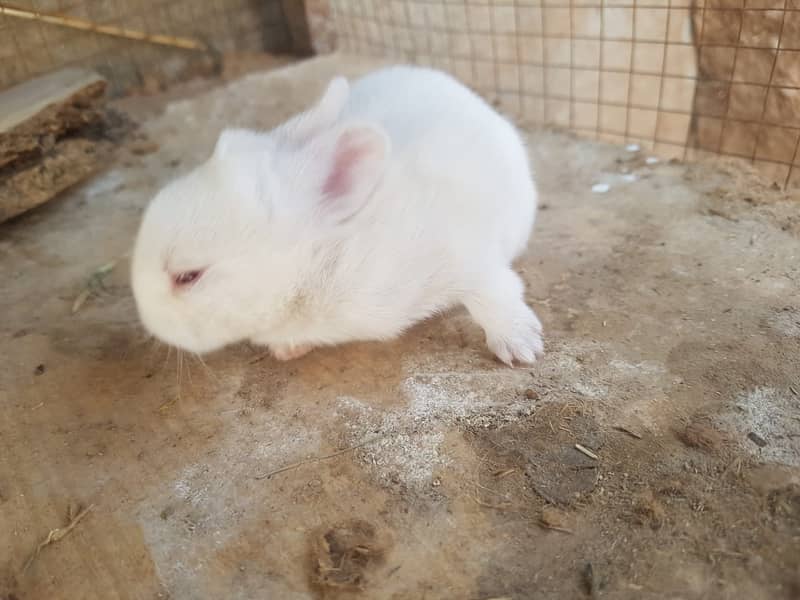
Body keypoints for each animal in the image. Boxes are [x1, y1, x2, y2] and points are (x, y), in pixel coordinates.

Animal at [131, 66, 544, 366]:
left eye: (188, 276)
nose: (146, 318)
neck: (325, 259)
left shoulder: (468, 258)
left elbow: (492, 295)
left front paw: (521, 345)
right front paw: (288, 350)